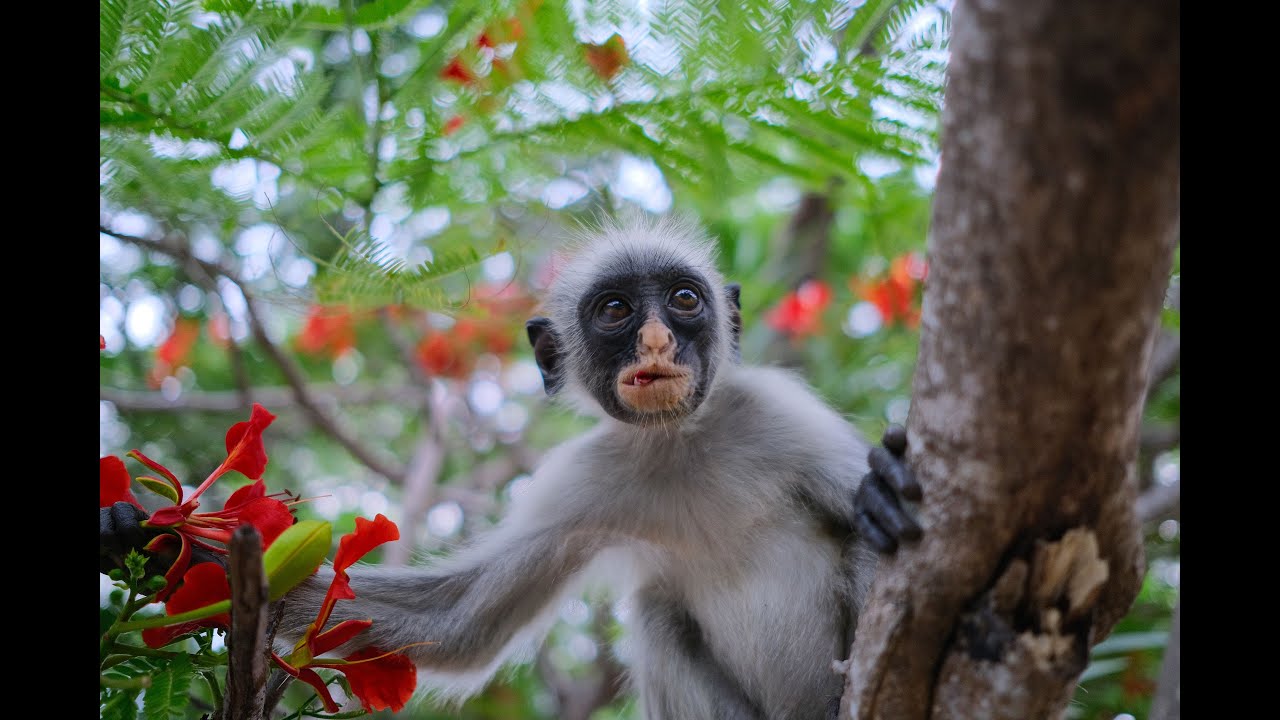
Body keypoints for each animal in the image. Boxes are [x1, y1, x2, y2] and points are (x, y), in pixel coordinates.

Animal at [101, 214, 922, 719]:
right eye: (617, 312)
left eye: (685, 299)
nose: (658, 341)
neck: (681, 444)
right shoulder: (585, 479)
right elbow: (458, 624)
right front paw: (145, 537)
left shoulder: (778, 417)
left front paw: (885, 489)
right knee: (658, 614)